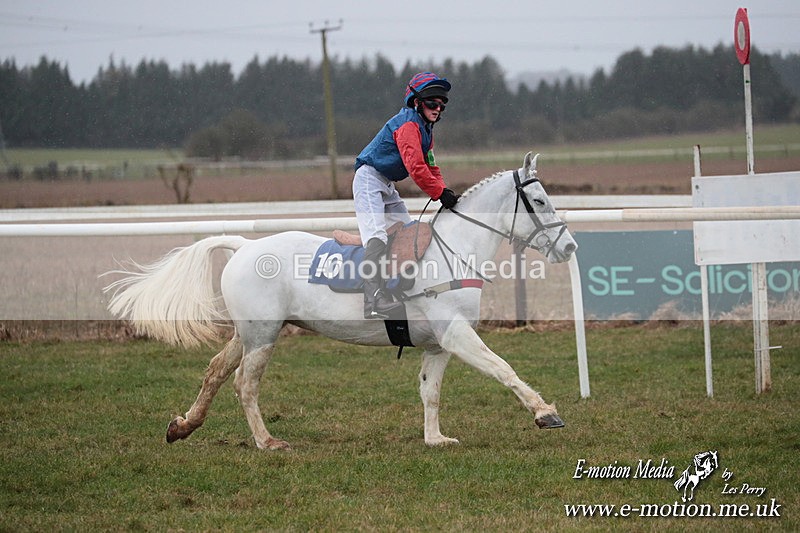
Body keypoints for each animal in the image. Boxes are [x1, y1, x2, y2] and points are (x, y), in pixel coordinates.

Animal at [104, 152, 578, 450]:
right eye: (539, 200)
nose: (570, 246)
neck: (453, 250)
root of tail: (244, 246)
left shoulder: (439, 343)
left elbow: (431, 392)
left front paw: (435, 439)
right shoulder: (457, 335)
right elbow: (503, 369)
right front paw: (545, 413)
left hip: (250, 332)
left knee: (216, 371)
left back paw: (183, 427)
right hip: (263, 336)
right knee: (245, 384)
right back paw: (266, 442)